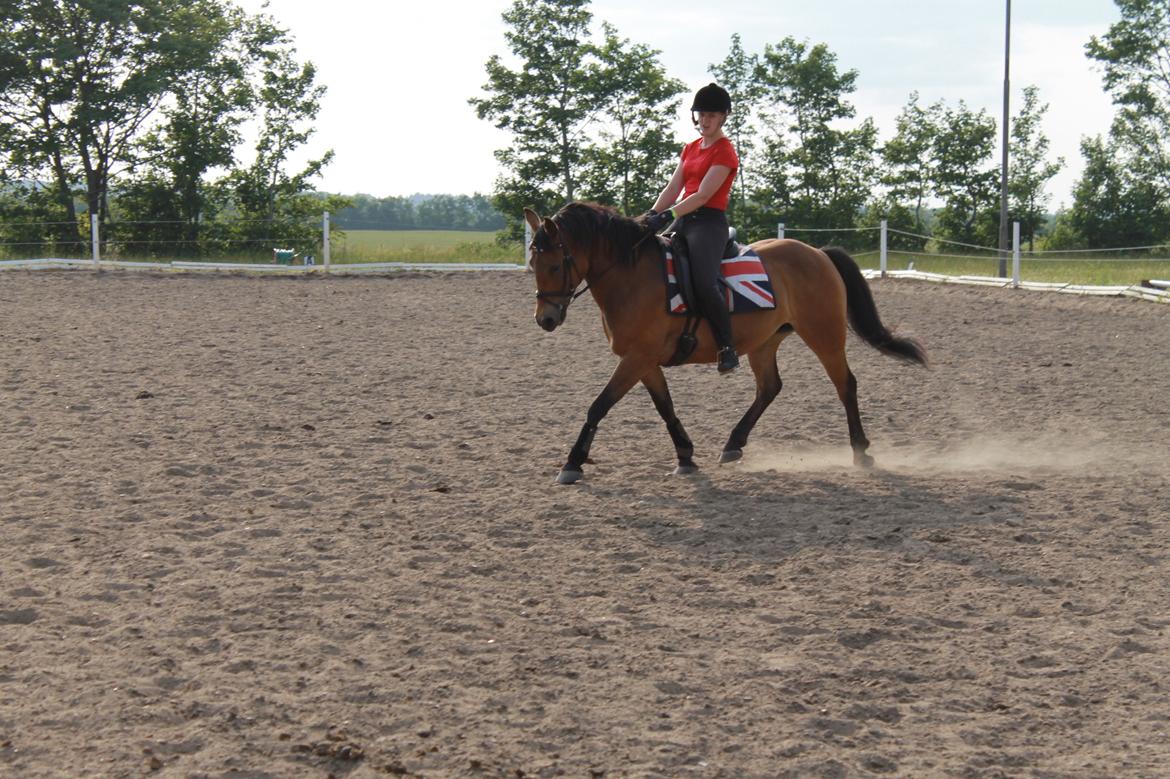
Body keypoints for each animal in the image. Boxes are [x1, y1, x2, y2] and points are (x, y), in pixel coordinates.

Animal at [526, 201, 926, 479]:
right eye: (532, 265)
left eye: (555, 265)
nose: (545, 319)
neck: (631, 275)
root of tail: (816, 253)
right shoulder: (645, 361)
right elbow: (665, 407)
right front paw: (685, 456)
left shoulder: (637, 358)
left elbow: (599, 405)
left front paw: (573, 463)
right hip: (765, 342)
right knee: (770, 388)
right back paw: (734, 444)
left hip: (824, 335)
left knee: (845, 384)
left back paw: (861, 451)